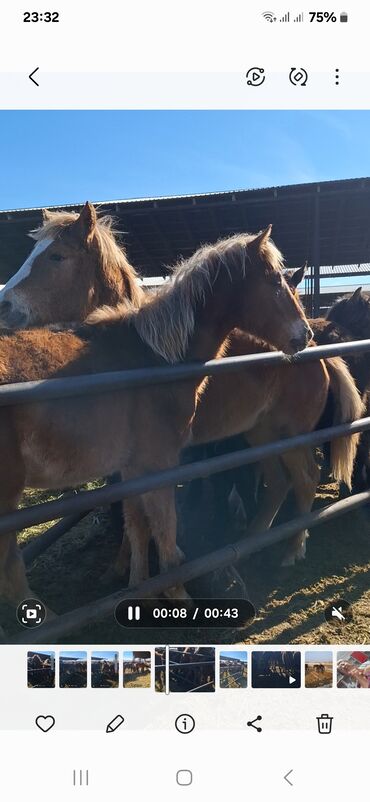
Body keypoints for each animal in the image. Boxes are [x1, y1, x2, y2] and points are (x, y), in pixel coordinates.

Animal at [0, 225, 312, 608]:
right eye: (273, 281)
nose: (305, 334)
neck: (156, 359)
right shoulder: (159, 465)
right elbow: (164, 528)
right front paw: (176, 592)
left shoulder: (133, 470)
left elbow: (137, 527)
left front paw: (139, 587)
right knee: (12, 572)